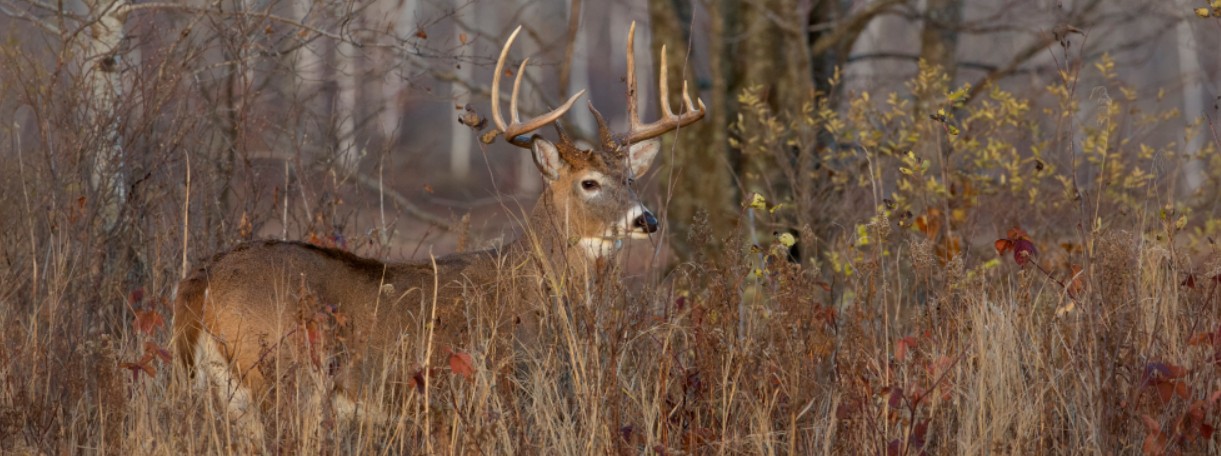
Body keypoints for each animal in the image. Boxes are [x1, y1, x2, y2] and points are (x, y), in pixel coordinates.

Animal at [171, 22, 704, 444]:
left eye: (630, 178)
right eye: (589, 183)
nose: (646, 219)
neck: (537, 289)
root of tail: (198, 283)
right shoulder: (499, 381)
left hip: (223, 386)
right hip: (277, 372)